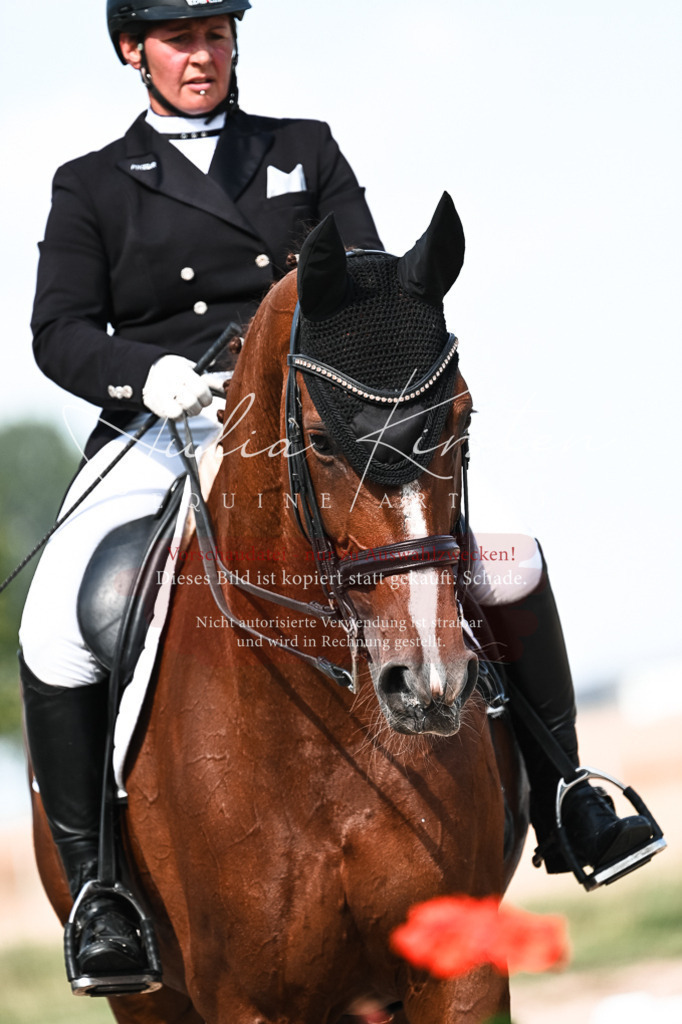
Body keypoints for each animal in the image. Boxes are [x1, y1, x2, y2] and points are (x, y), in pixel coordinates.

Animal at [30, 193, 528, 1023]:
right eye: (322, 443)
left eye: (462, 421)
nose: (428, 683)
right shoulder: (247, 999)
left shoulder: (462, 975)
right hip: (148, 1000)